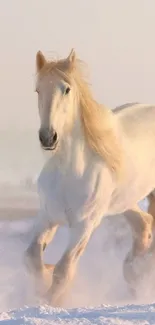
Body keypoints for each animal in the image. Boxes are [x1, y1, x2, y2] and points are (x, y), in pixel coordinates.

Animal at [25, 48, 155, 304]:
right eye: (38, 90)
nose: (48, 137)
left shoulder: (84, 225)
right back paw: (134, 272)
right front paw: (42, 283)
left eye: (66, 89)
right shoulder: (47, 216)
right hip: (124, 201)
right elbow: (32, 257)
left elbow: (64, 270)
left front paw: (49, 302)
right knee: (144, 224)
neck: (69, 172)